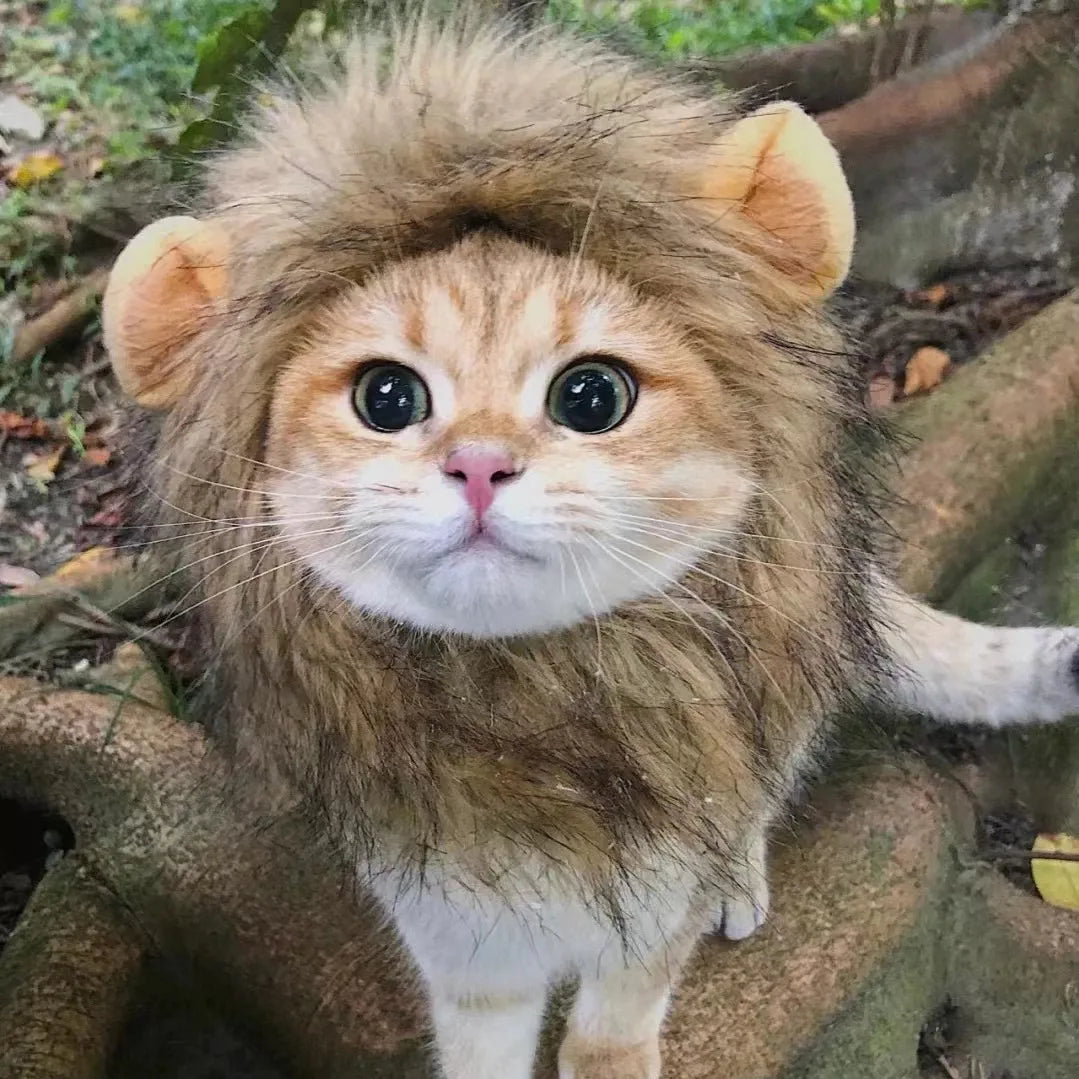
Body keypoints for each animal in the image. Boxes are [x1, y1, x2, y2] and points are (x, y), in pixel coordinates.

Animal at [101, 10, 1079, 1079]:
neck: (539, 714)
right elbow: (481, 1045)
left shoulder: (658, 887)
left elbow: (620, 1012)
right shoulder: (454, 930)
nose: (478, 466)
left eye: (591, 395)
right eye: (386, 397)